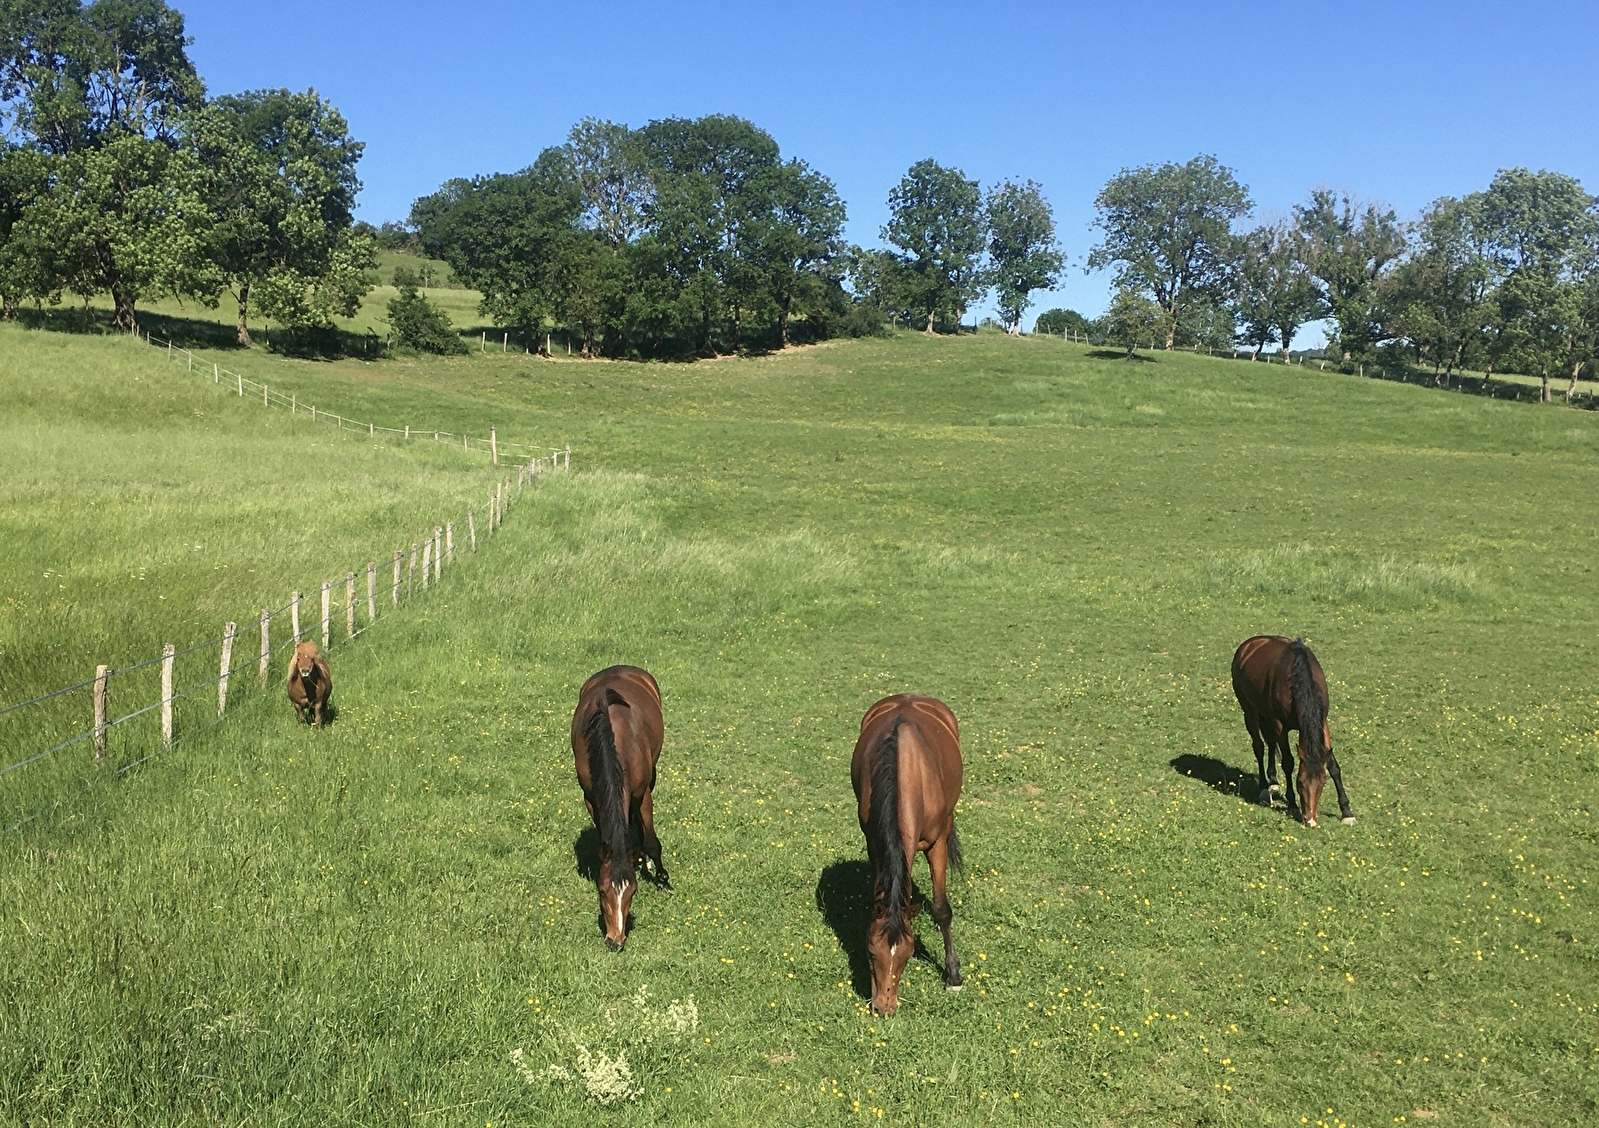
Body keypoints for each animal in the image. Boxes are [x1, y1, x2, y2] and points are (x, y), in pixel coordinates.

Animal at [570, 665, 668, 951]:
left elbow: (652, 842)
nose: (616, 940)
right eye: (602, 890)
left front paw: (663, 879)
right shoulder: (591, 798)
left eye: (633, 891)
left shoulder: (643, 795)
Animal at [850, 693, 964, 1016]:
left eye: (908, 953)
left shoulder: (937, 843)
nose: (884, 1007)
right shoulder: (874, 843)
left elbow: (942, 909)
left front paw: (953, 976)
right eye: (870, 952)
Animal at [1231, 635, 1354, 828]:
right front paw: (1292, 803)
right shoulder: (1280, 725)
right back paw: (1264, 789)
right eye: (1300, 783)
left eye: (1322, 783)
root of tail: (1248, 645)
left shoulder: (1323, 722)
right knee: (1259, 746)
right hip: (1249, 710)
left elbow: (1333, 766)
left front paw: (1347, 811)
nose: (1310, 820)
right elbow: (1288, 762)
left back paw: (1273, 781)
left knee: (1270, 742)